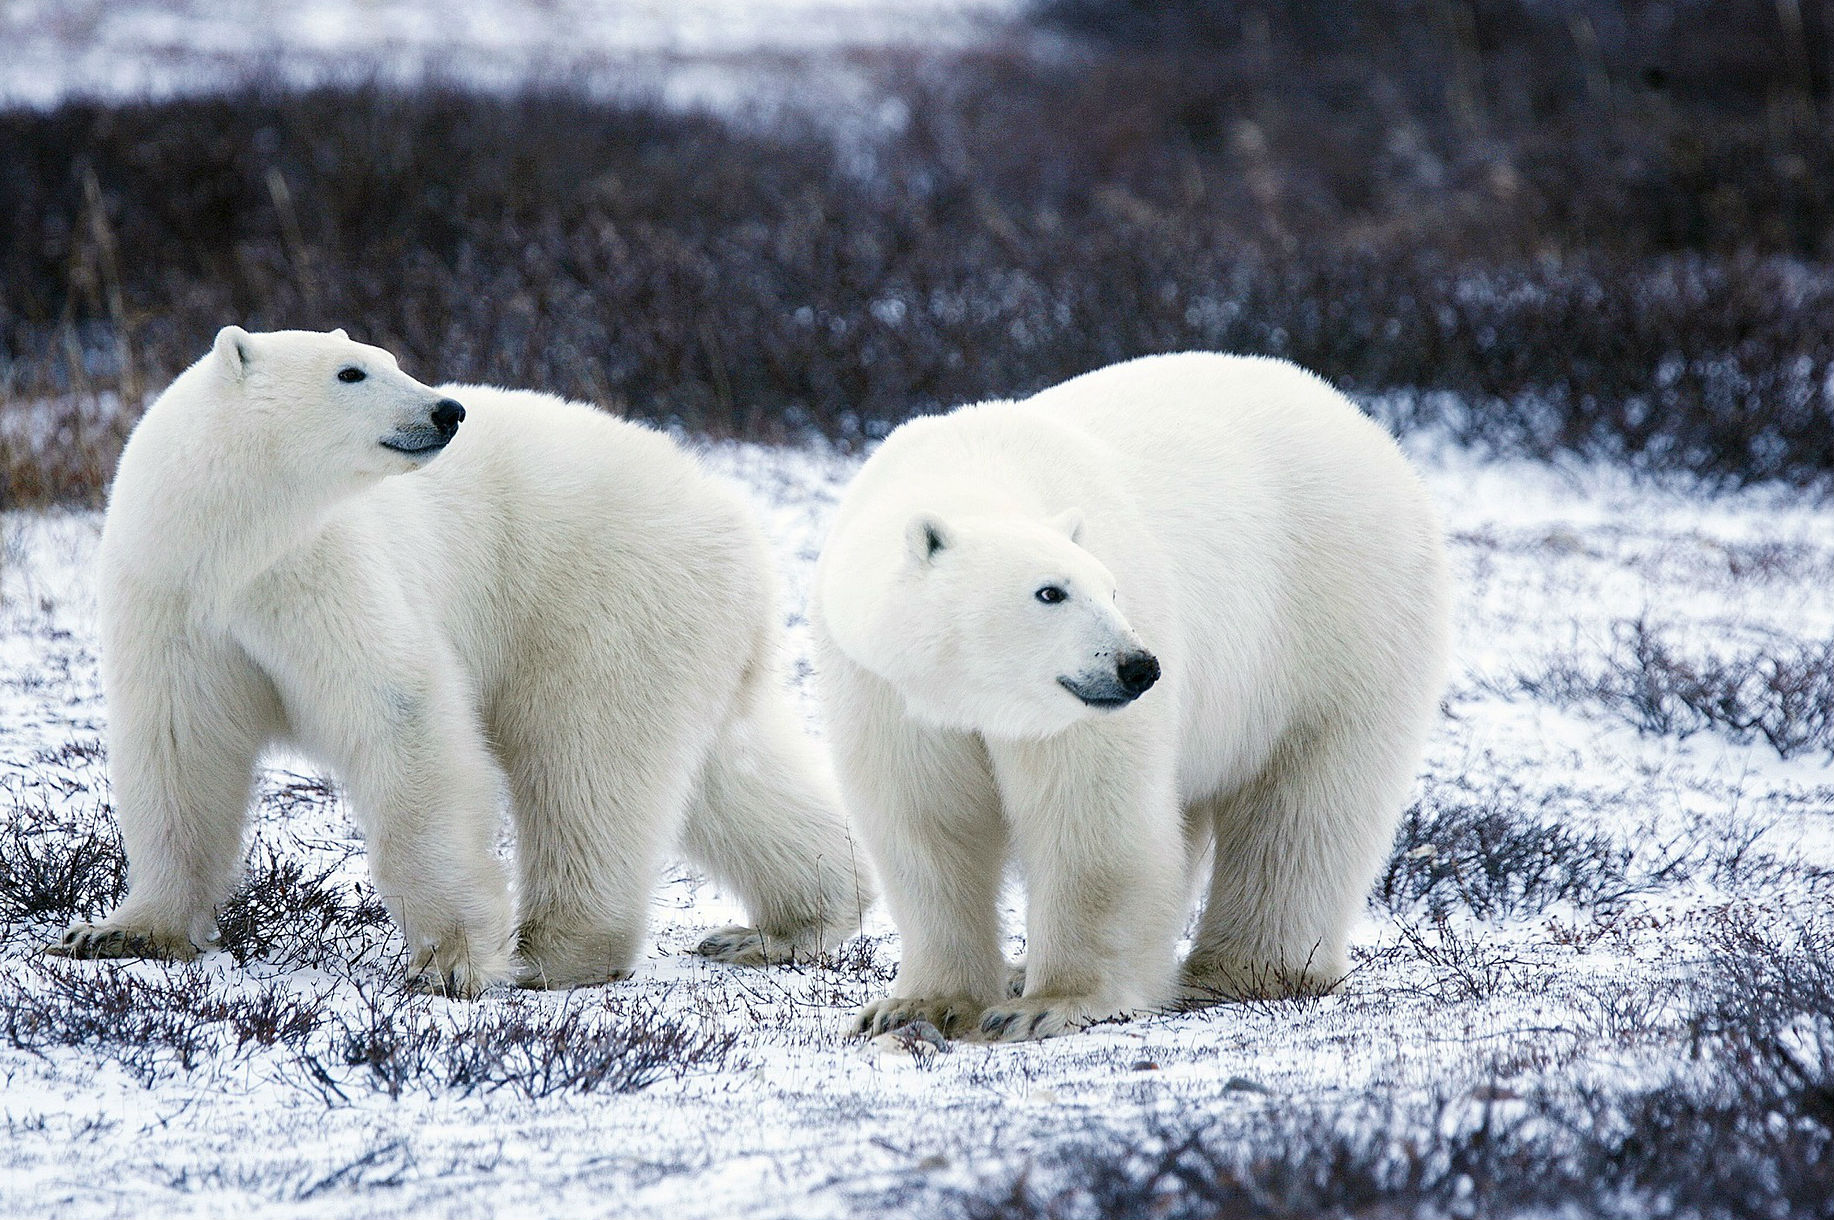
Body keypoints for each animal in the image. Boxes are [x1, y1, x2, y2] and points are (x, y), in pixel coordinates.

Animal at [50, 326, 871, 995]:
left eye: (391, 359)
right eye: (352, 371)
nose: (447, 411)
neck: (233, 542)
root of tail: (740, 523)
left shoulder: (323, 571)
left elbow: (402, 715)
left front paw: (451, 962)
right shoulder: (172, 595)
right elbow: (179, 745)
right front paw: (118, 931)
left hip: (604, 597)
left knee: (585, 761)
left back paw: (556, 952)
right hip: (685, 629)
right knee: (723, 772)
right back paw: (787, 924)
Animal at [811, 351, 1449, 1041]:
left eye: (1110, 589)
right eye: (1050, 592)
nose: (1138, 667)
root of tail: (1366, 426)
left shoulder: (1077, 711)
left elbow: (1092, 819)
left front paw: (1047, 1005)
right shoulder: (884, 687)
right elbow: (926, 822)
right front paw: (916, 1007)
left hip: (1338, 617)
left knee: (1304, 806)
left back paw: (1240, 970)